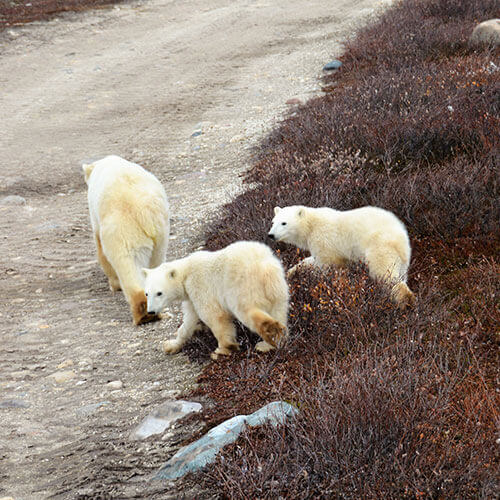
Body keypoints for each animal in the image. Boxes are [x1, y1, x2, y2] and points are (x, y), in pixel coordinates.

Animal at [81, 157, 169, 328]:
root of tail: (143, 213)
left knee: (125, 263)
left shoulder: (96, 218)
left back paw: (142, 313)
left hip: (121, 230)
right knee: (155, 260)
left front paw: (113, 285)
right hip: (161, 230)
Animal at [141, 241, 290, 360]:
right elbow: (189, 320)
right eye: (147, 294)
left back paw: (268, 334)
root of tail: (264, 267)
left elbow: (214, 316)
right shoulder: (191, 297)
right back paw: (271, 342)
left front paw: (223, 349)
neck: (186, 272)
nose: (151, 311)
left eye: (159, 293)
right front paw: (171, 345)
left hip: (242, 285)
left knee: (246, 310)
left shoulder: (199, 286)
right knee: (279, 310)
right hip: (277, 288)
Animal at [268, 204, 416, 306]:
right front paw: (290, 272)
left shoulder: (324, 240)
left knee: (385, 274)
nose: (271, 235)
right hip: (403, 259)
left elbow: (328, 264)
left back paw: (406, 300)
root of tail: (400, 238)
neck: (311, 226)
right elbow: (311, 261)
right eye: (273, 222)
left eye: (284, 223)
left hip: (380, 247)